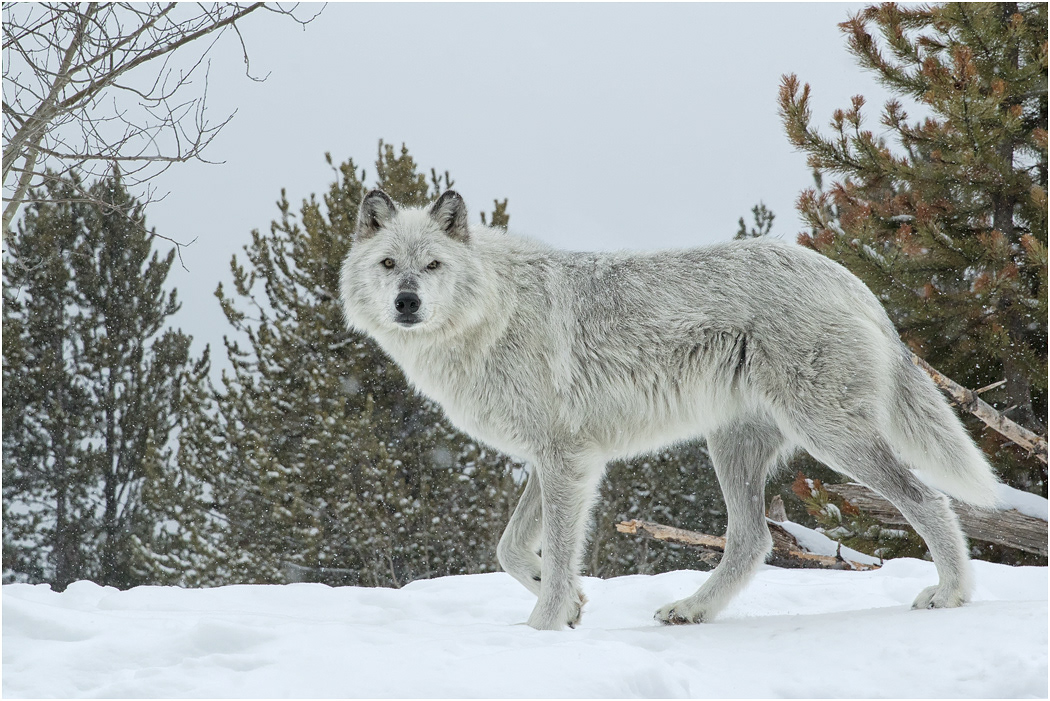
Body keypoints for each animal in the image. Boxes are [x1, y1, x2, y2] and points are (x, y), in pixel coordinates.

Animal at [339, 189, 1001, 631]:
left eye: (433, 265)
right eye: (389, 265)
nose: (406, 302)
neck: (491, 314)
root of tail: (851, 280)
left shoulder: (565, 461)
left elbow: (555, 553)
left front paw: (542, 631)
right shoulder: (555, 461)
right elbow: (510, 550)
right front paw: (571, 604)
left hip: (832, 439)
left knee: (927, 499)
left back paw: (950, 595)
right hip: (732, 449)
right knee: (753, 539)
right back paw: (692, 609)